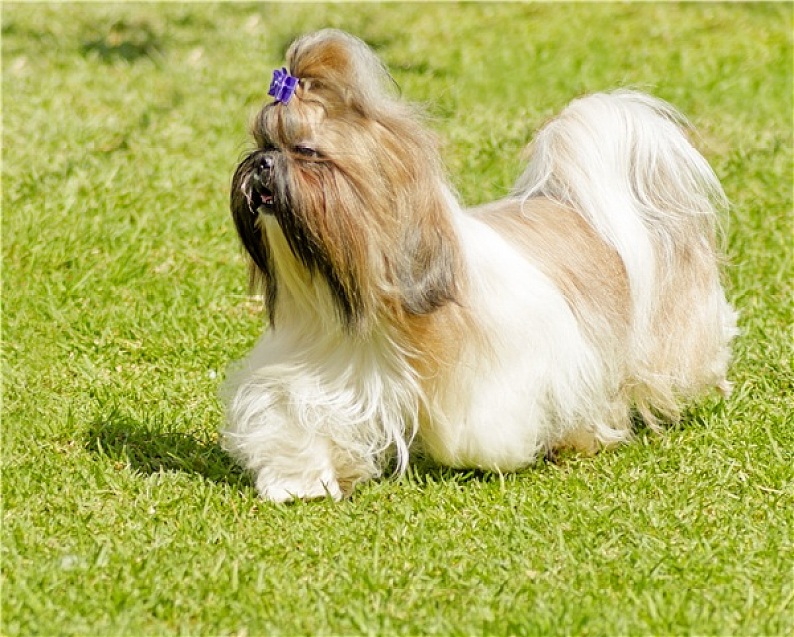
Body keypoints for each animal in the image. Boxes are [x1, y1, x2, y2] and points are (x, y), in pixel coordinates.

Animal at [220, 29, 732, 500]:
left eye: (306, 152)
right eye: (262, 142)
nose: (261, 164)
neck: (377, 305)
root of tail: (582, 208)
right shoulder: (320, 362)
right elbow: (295, 414)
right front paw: (298, 479)